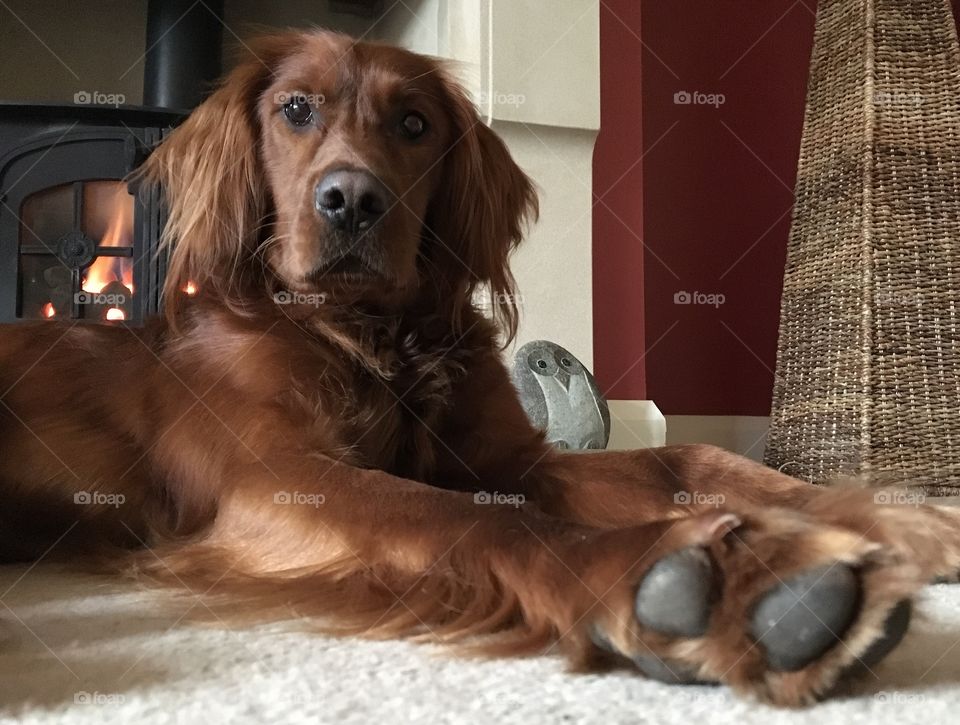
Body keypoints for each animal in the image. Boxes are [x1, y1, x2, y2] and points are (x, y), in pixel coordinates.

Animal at [1, 31, 960, 704]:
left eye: (414, 124)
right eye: (296, 110)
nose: (352, 200)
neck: (373, 337)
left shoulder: (511, 459)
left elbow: (684, 457)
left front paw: (901, 519)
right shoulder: (268, 478)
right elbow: (468, 519)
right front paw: (715, 577)